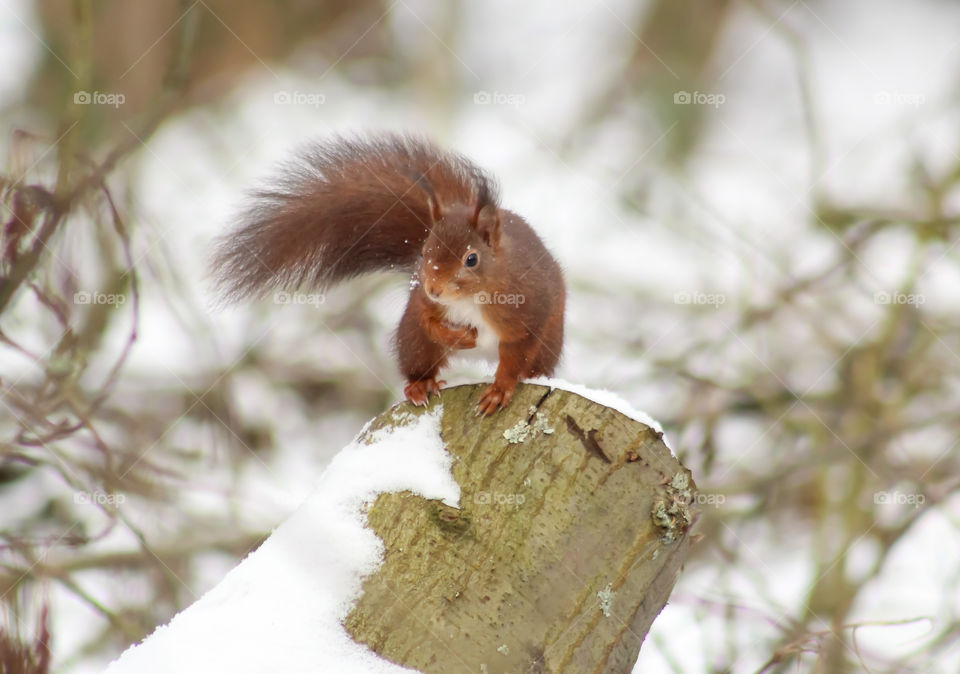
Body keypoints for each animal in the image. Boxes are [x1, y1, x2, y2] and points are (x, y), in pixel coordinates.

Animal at [211, 133, 565, 415]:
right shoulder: (423, 304)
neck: (471, 298)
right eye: (423, 252)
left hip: (549, 344)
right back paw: (420, 386)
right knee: (419, 358)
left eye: (472, 259)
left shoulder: (525, 314)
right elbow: (429, 321)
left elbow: (515, 355)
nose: (434, 288)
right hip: (413, 341)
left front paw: (499, 391)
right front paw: (459, 336)